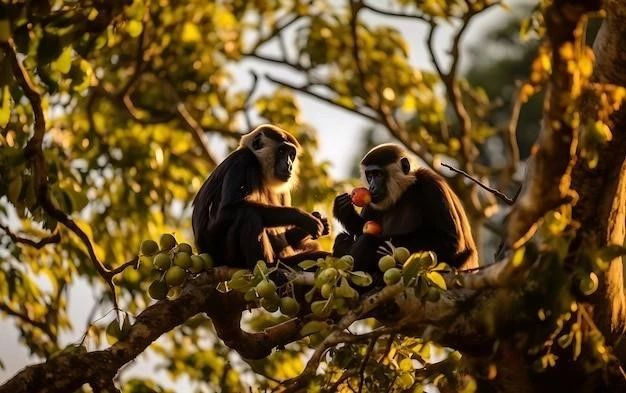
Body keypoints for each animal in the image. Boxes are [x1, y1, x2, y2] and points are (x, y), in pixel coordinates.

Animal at [190, 125, 330, 270]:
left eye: (291, 155)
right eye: (281, 151)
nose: (289, 165)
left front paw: (320, 221)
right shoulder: (243, 159)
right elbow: (227, 209)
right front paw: (304, 218)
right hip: (227, 256)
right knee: (248, 214)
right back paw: (267, 266)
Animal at [332, 142, 472, 274]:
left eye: (378, 174)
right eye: (370, 176)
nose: (371, 187)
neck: (405, 190)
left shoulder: (431, 185)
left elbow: (449, 241)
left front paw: (373, 243)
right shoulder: (372, 203)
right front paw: (345, 211)